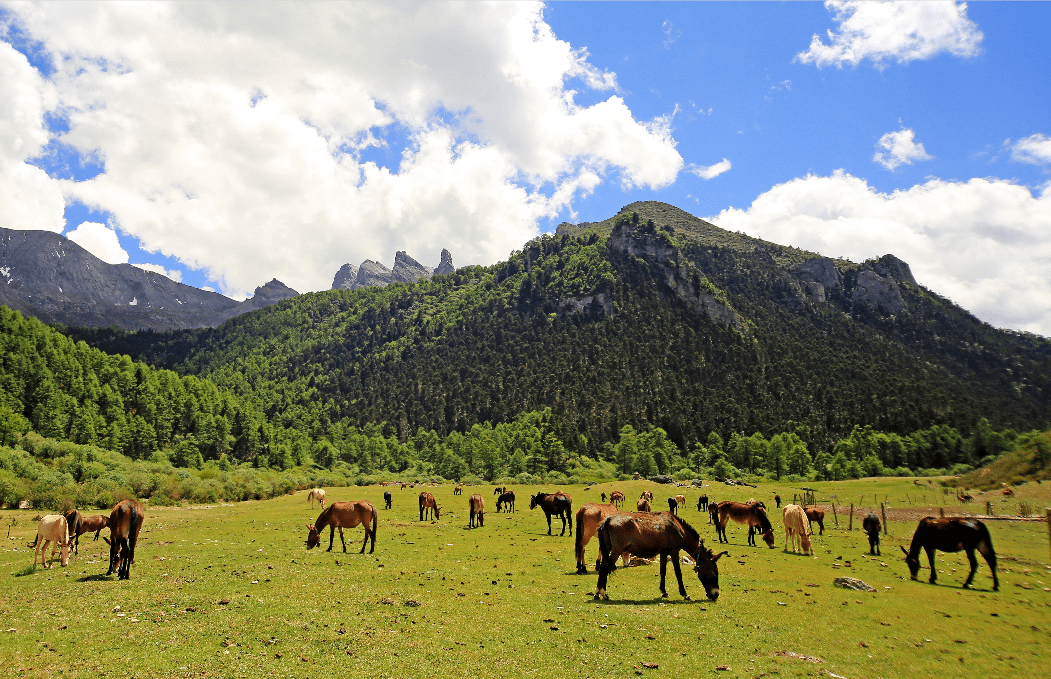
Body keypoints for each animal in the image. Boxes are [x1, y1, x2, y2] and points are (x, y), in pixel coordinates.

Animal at [596, 512, 727, 605]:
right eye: (715, 573)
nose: (716, 594)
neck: (678, 528)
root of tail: (608, 519)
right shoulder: (674, 552)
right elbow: (678, 573)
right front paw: (684, 594)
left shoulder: (664, 553)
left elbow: (663, 571)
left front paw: (664, 592)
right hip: (617, 550)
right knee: (605, 568)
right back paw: (603, 593)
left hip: (608, 549)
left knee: (603, 567)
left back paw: (598, 593)